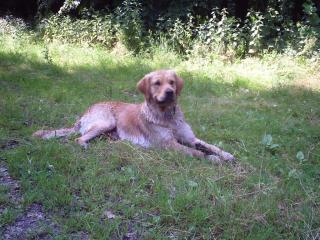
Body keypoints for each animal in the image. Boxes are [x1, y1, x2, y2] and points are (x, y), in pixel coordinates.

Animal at [33, 69, 235, 163]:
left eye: (171, 82)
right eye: (157, 83)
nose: (170, 92)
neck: (167, 116)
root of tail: (86, 111)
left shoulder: (190, 138)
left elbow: (209, 146)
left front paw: (226, 154)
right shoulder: (169, 145)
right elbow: (197, 153)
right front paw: (213, 159)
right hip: (106, 122)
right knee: (79, 139)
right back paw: (85, 146)